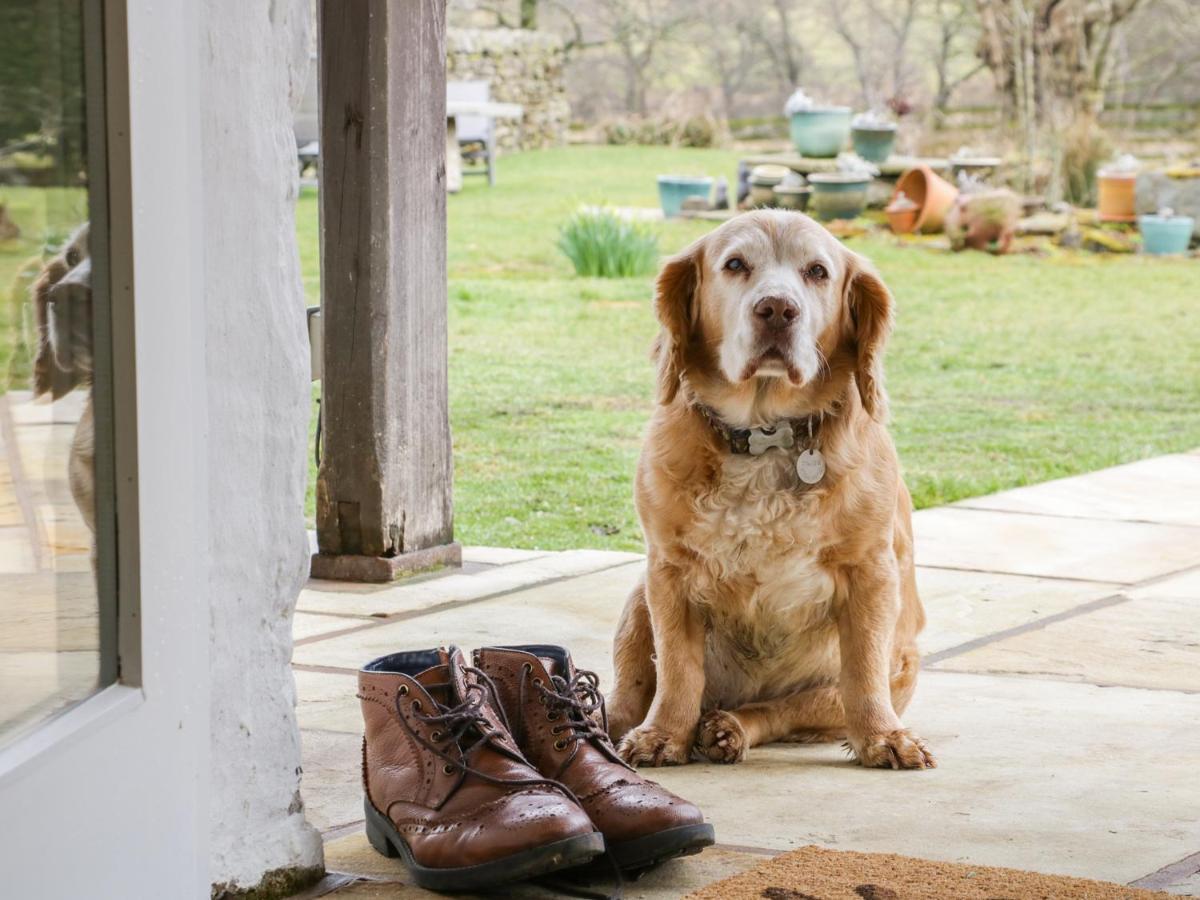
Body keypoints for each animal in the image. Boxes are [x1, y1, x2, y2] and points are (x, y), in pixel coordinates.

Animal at [604, 210, 931, 768]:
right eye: (735, 264)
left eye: (817, 272)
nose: (777, 309)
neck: (763, 434)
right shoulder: (668, 573)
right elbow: (678, 669)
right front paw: (664, 734)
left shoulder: (870, 572)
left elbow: (863, 671)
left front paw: (882, 736)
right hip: (635, 605)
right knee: (629, 696)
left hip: (868, 678)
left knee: (780, 710)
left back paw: (728, 727)